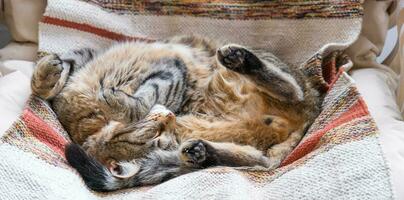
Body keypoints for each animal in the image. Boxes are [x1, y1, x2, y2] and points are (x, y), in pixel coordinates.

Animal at [30, 35, 322, 191]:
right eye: (157, 138)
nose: (170, 116)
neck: (88, 119)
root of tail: (311, 112)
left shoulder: (171, 72)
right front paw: (47, 76)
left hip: (270, 81)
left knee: (291, 89)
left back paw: (240, 59)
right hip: (252, 151)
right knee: (248, 159)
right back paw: (201, 151)